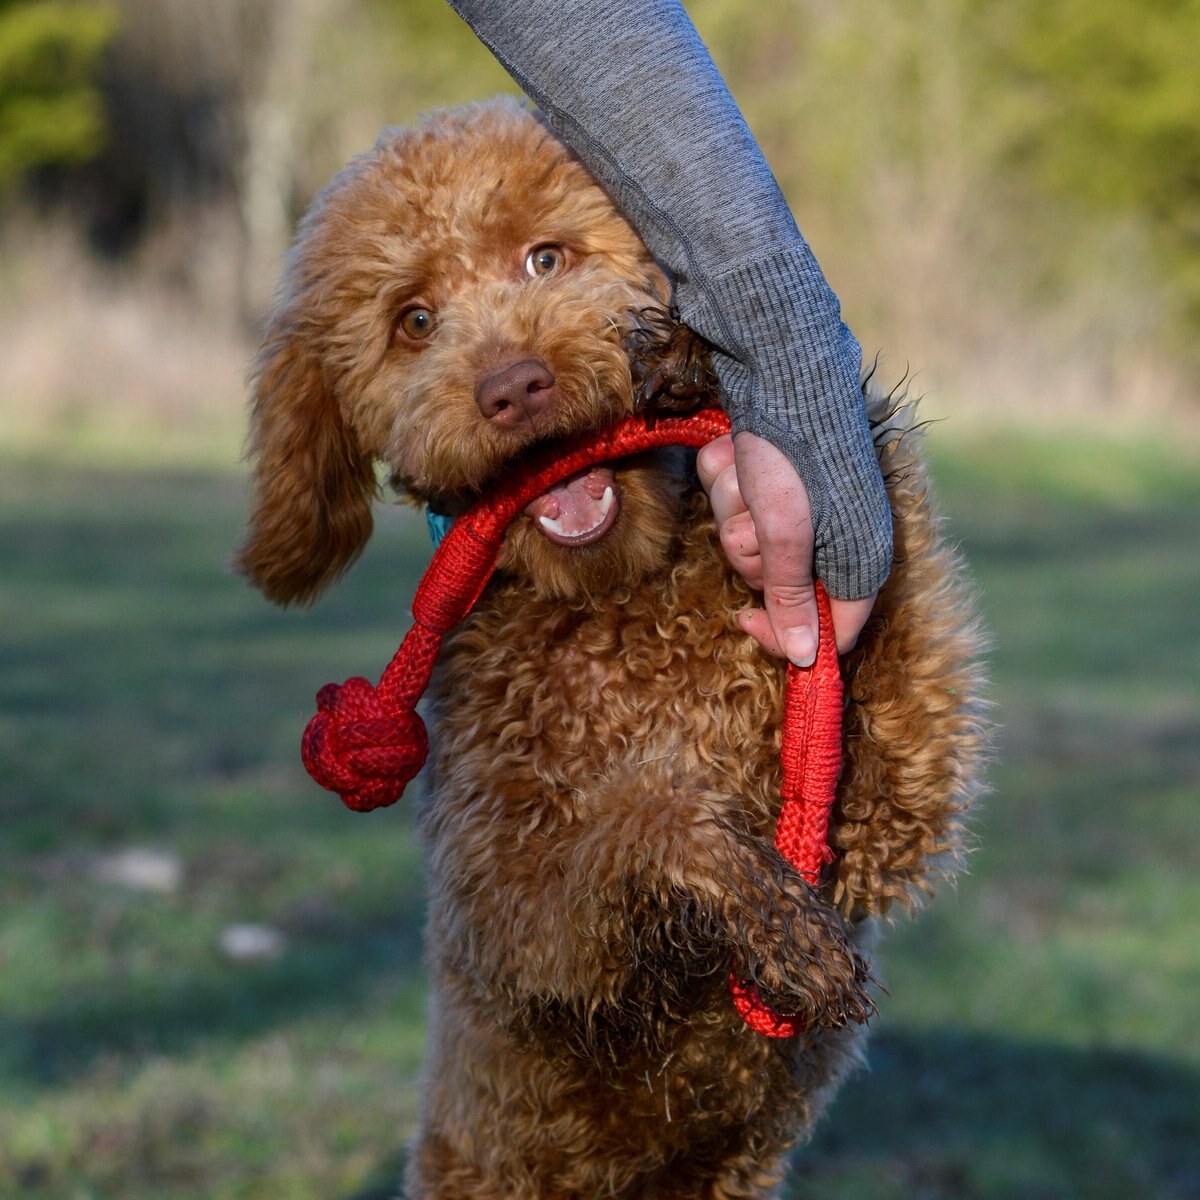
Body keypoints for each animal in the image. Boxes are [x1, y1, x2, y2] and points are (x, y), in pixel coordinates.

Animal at [234, 98, 984, 1195]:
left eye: (546, 258)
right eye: (414, 322)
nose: (514, 386)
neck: (618, 603)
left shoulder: (884, 818)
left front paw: (713, 369)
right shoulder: (517, 922)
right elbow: (642, 821)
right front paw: (769, 917)